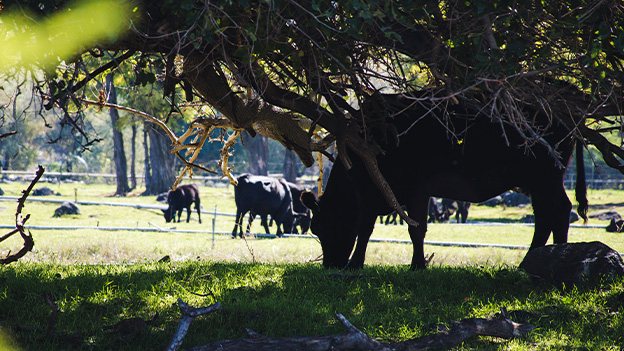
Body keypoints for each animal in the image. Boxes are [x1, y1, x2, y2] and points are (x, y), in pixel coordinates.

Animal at [300, 93, 588, 270]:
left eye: (321, 227)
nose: (330, 264)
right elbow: (410, 228)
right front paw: (416, 265)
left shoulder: (391, 192)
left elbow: (381, 229)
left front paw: (362, 264)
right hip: (536, 182)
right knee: (544, 217)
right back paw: (529, 262)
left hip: (546, 176)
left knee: (560, 210)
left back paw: (559, 256)